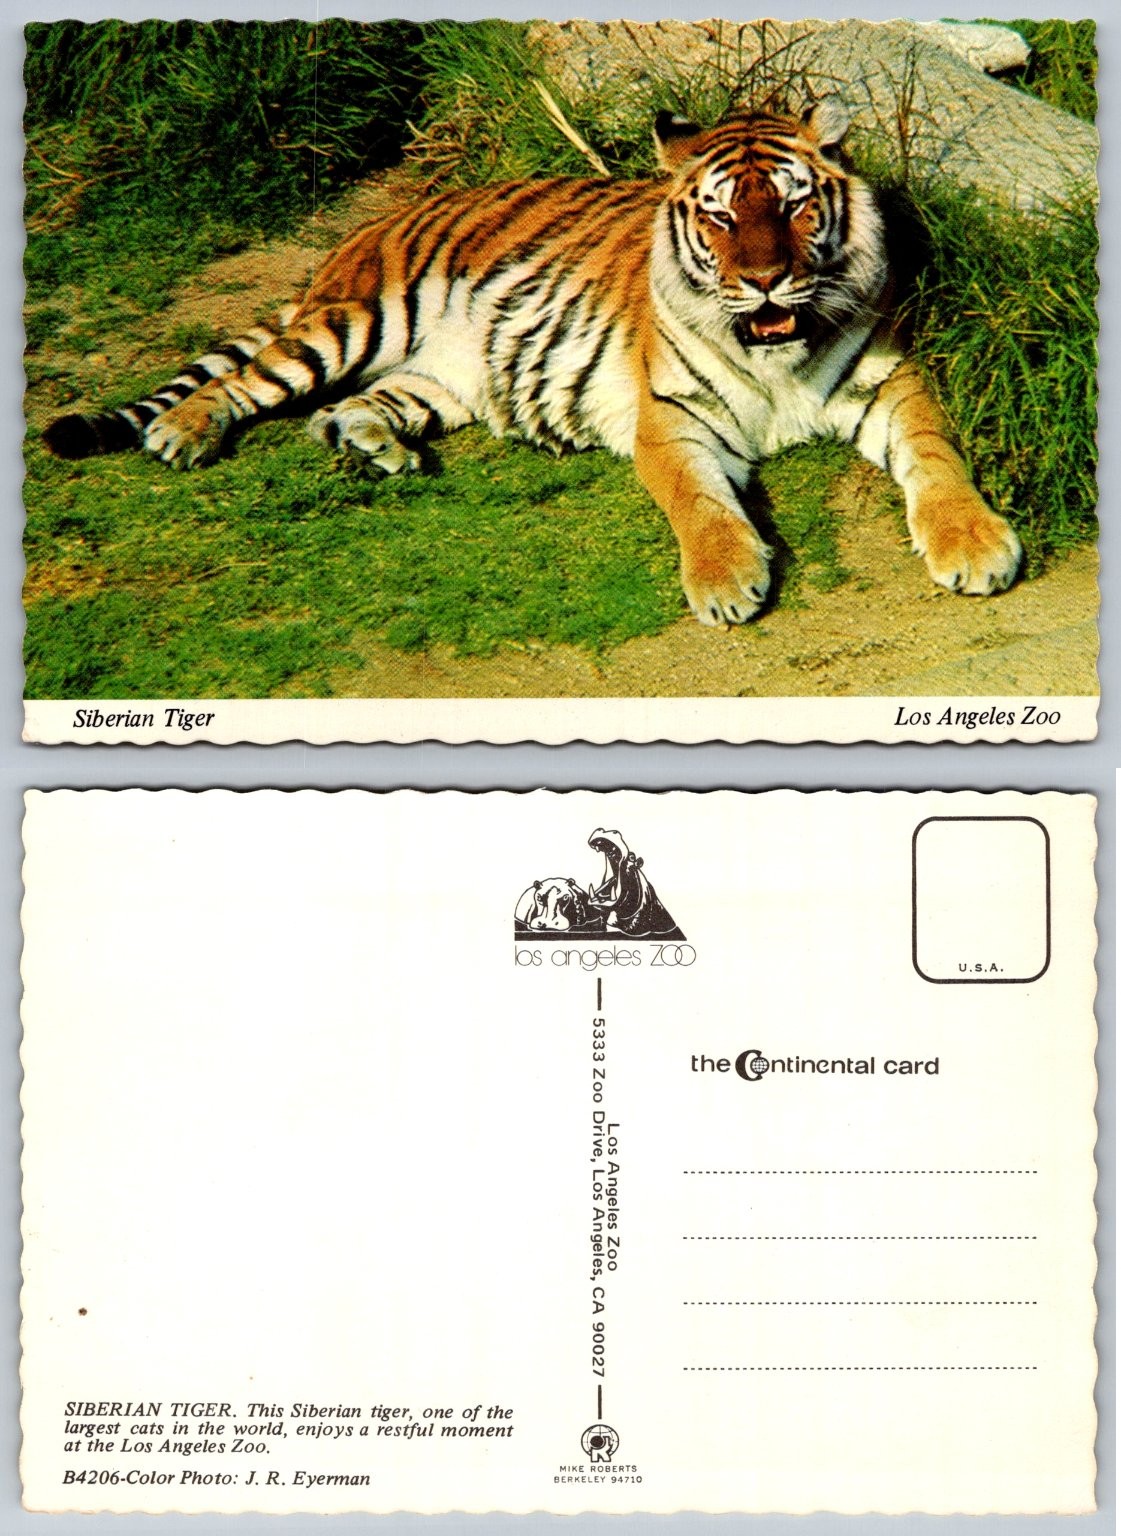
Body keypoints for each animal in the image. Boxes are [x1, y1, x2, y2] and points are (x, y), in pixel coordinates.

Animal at [42, 100, 1022, 627]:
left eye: (789, 206)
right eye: (717, 217)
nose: (763, 278)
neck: (776, 350)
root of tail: (366, 227)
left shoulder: (892, 382)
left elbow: (936, 461)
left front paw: (975, 545)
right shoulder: (670, 419)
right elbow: (697, 502)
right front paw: (723, 580)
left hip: (439, 381)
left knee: (348, 408)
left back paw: (377, 449)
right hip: (349, 325)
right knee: (248, 381)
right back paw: (183, 432)